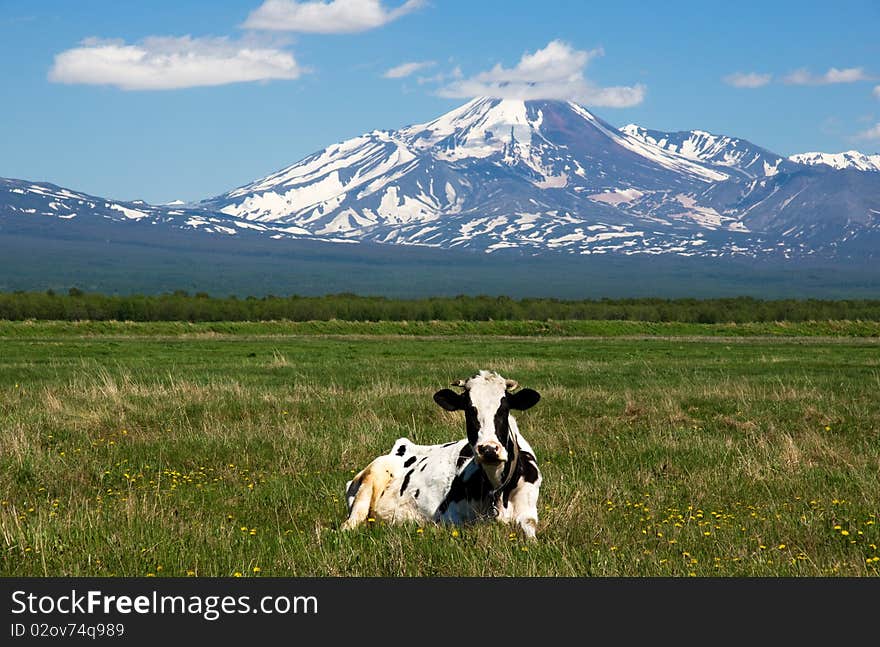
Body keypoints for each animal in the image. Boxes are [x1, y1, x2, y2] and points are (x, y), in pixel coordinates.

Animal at [344, 372, 544, 540]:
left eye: (504, 409)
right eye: (469, 410)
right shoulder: (450, 517)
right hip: (371, 479)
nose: (488, 449)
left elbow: (531, 535)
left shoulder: (528, 513)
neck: (498, 488)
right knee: (350, 523)